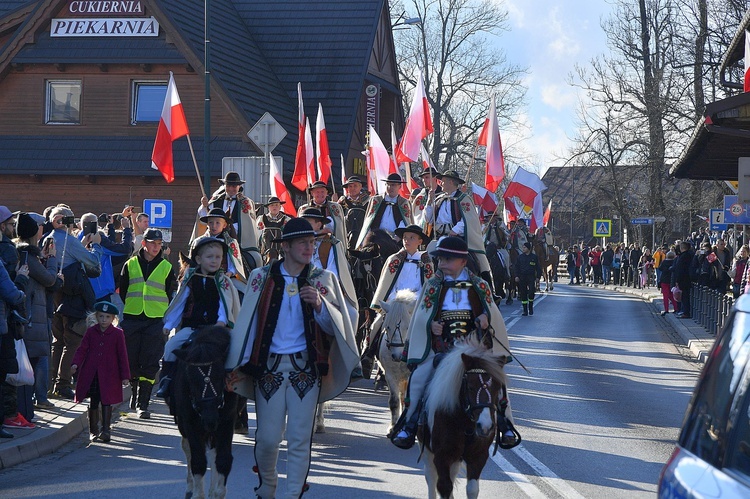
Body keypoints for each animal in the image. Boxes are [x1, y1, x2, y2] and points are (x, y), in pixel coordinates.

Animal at [173, 326, 238, 498]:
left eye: (221, 376)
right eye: (191, 378)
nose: (210, 420)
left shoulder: (226, 422)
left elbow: (223, 460)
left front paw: (216, 492)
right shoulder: (189, 423)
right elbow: (197, 461)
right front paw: (197, 493)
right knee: (187, 448)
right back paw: (190, 488)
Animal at [378, 292, 420, 436]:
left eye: (408, 326)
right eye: (387, 327)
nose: (396, 356)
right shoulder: (390, 375)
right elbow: (395, 401)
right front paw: (393, 427)